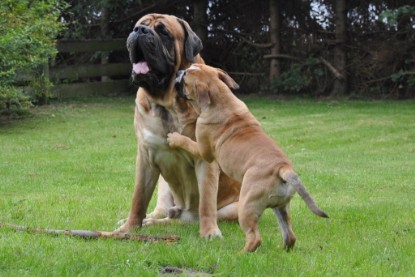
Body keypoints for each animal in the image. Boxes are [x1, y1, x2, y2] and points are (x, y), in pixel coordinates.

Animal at [168, 63, 328, 251]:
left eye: (185, 78)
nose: (178, 72)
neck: (221, 98)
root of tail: (283, 168)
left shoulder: (202, 150)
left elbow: (187, 142)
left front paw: (174, 138)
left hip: (245, 207)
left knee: (254, 238)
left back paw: (240, 253)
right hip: (281, 207)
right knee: (290, 235)